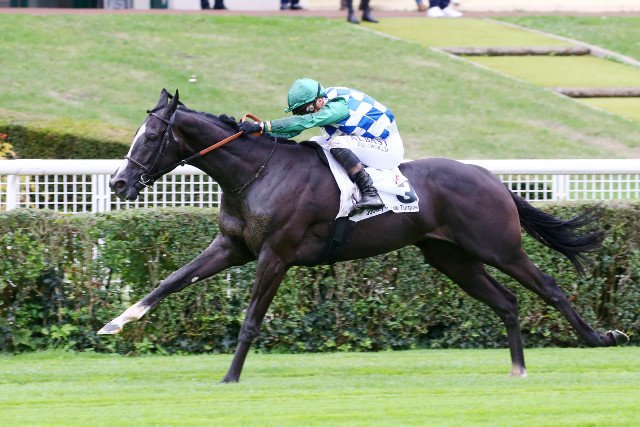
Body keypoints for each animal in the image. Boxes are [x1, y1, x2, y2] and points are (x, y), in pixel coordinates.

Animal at [99, 89, 628, 382]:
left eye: (150, 137)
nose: (118, 184)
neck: (258, 173)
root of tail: (491, 178)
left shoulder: (276, 255)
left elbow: (250, 319)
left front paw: (230, 376)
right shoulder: (233, 247)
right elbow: (171, 281)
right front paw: (116, 323)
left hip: (498, 246)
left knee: (550, 288)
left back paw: (601, 337)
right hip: (450, 257)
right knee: (507, 302)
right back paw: (517, 367)